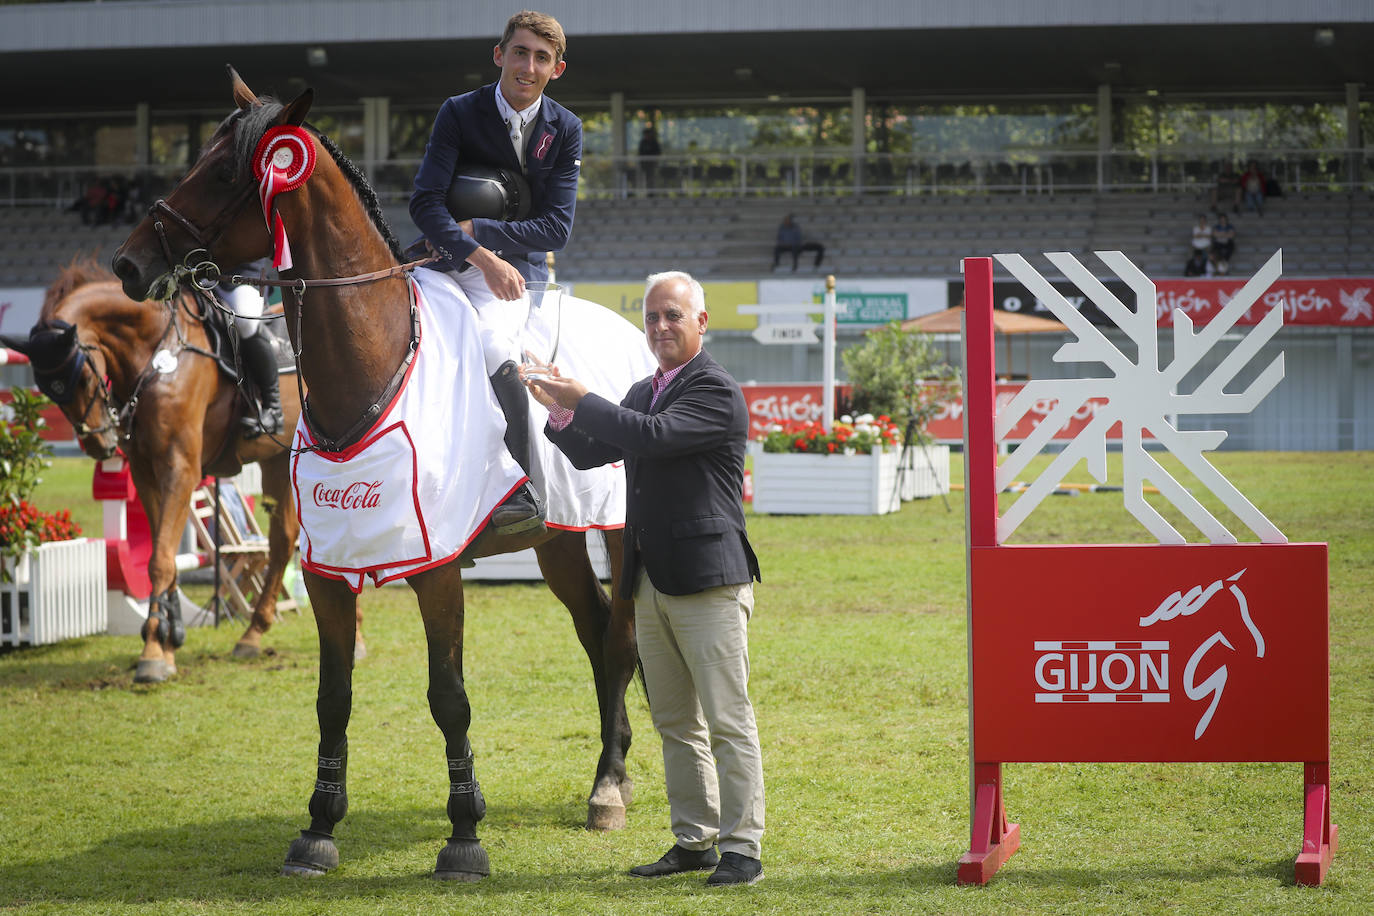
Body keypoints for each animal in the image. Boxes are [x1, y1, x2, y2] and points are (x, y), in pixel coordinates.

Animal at [0, 258, 318, 681]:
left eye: (82, 376)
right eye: (47, 390)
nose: (99, 445)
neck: (159, 356)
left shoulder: (179, 470)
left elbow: (160, 561)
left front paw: (152, 651)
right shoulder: (145, 471)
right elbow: (161, 554)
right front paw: (169, 640)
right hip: (276, 461)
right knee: (284, 539)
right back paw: (253, 635)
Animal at [111, 71, 637, 878]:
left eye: (225, 172)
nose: (129, 264)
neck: (371, 362)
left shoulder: (437, 567)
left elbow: (449, 695)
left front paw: (464, 835)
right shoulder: (328, 569)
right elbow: (333, 697)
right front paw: (319, 825)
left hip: (619, 528)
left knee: (617, 639)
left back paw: (607, 785)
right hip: (558, 540)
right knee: (597, 628)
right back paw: (615, 772)